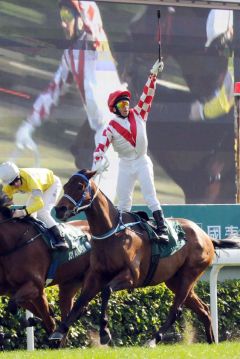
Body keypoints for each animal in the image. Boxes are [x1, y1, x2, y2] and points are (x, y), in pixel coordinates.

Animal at [0, 198, 110, 348]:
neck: (15, 242)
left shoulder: (36, 287)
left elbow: (43, 317)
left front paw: (38, 323)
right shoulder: (11, 290)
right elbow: (38, 312)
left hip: (93, 277)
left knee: (81, 305)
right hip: (69, 284)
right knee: (68, 309)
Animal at [50, 170, 240, 348]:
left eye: (80, 186)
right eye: (66, 186)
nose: (60, 209)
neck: (112, 232)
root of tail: (206, 236)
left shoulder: (131, 276)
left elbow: (106, 291)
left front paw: (104, 332)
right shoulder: (96, 275)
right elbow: (79, 302)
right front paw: (58, 332)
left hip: (189, 274)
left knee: (176, 310)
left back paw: (153, 339)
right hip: (175, 280)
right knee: (204, 310)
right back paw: (211, 341)